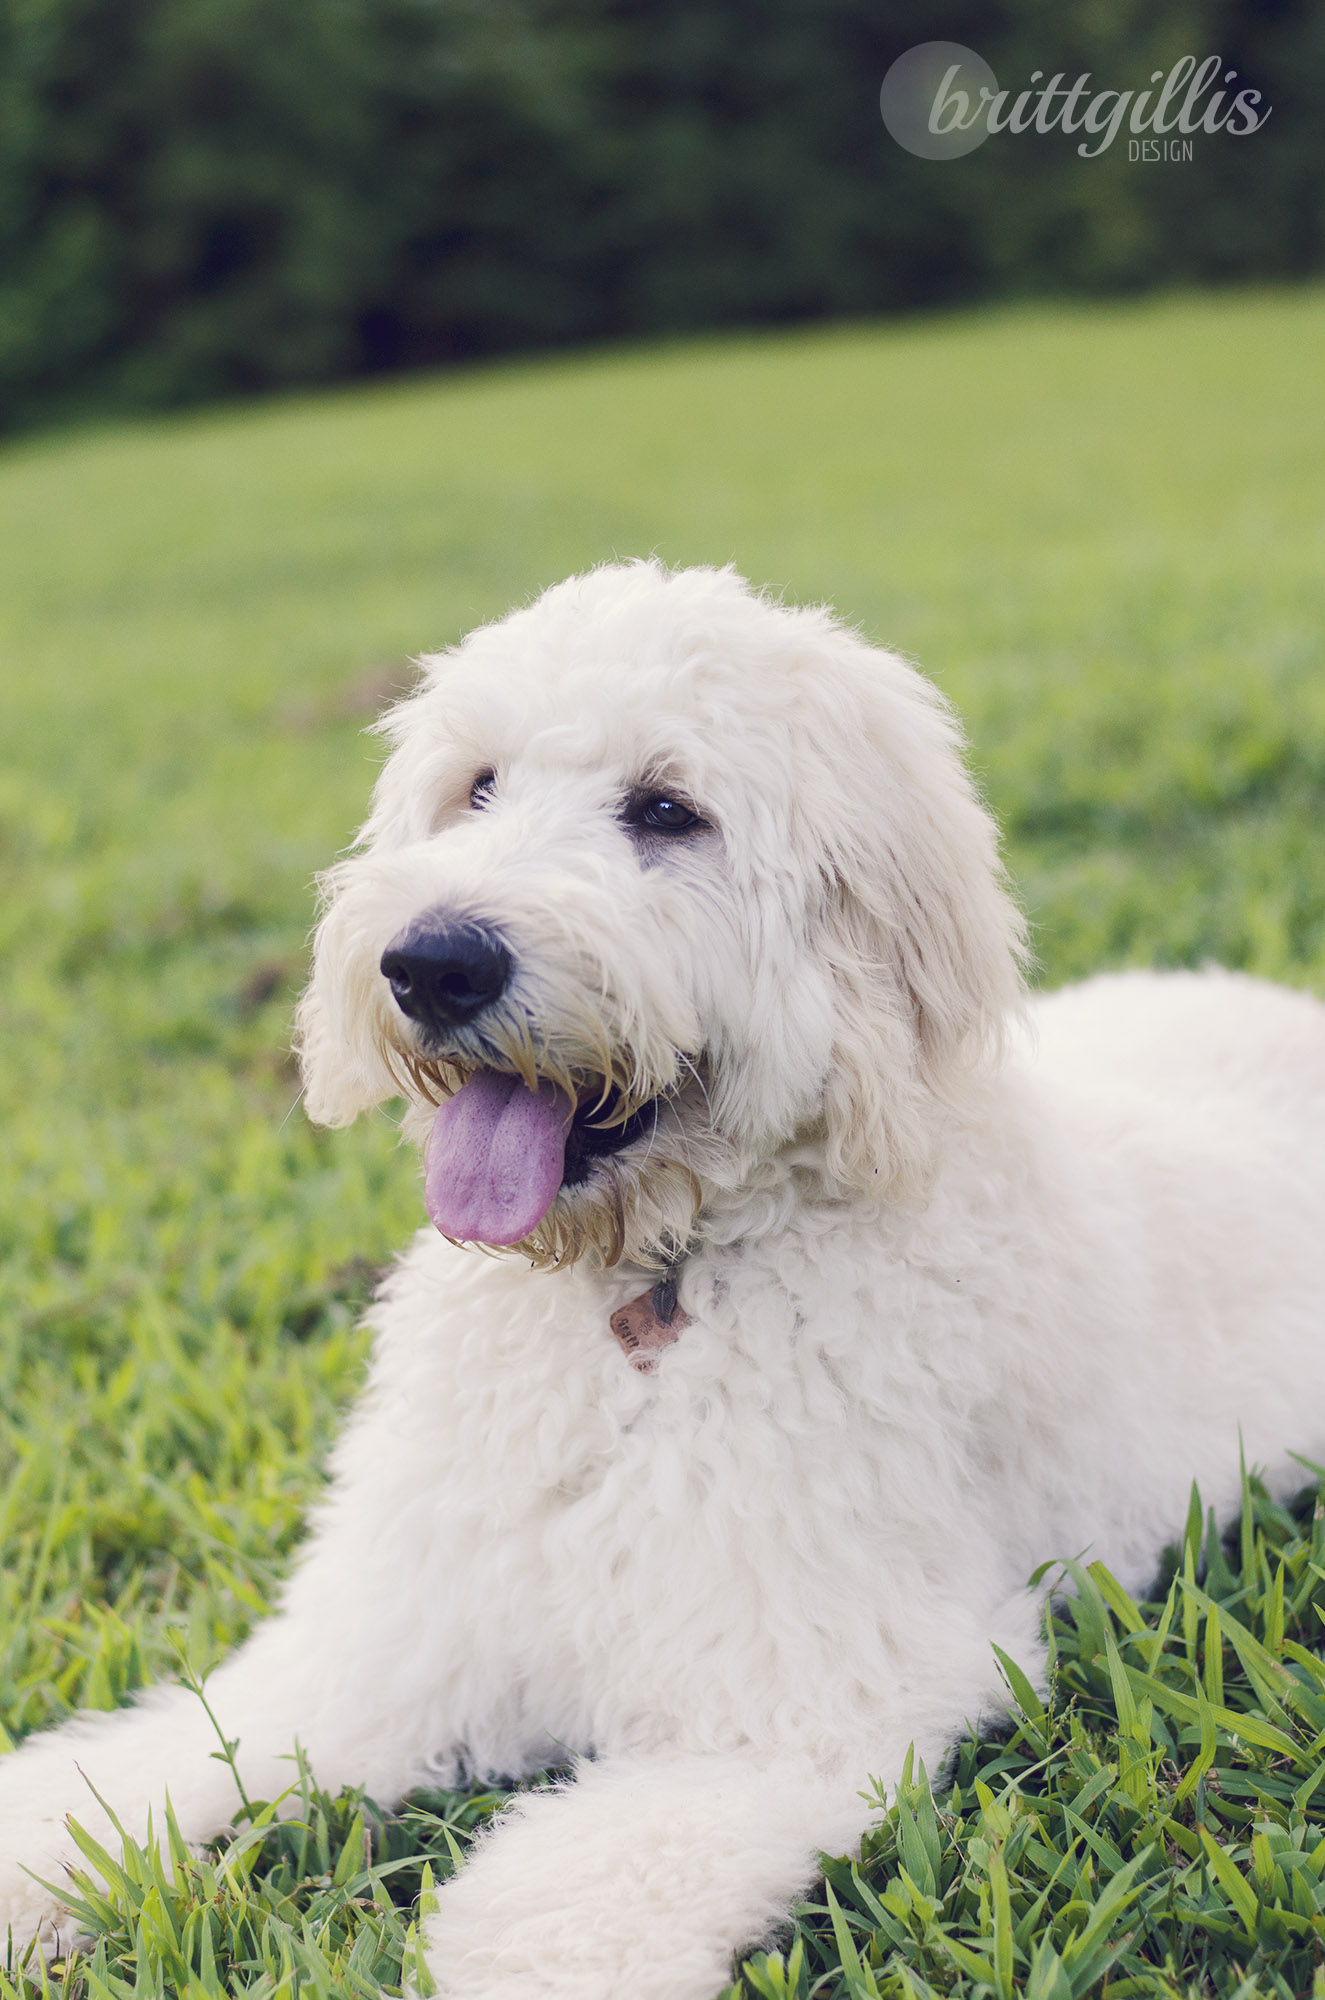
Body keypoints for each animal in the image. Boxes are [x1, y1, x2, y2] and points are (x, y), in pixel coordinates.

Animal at [2, 560, 1324, 1997]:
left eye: (666, 811)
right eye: (476, 786)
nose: (432, 960)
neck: (638, 1299)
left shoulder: (795, 1694)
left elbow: (562, 1901)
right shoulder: (383, 1643)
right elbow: (150, 1760)